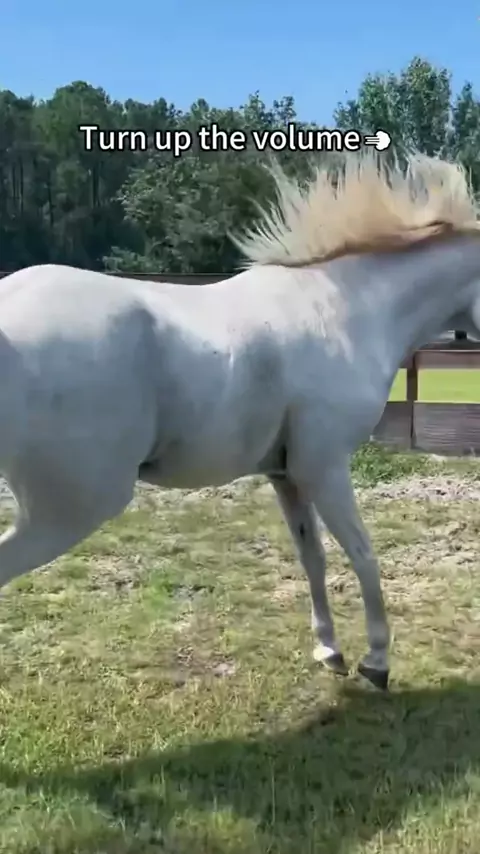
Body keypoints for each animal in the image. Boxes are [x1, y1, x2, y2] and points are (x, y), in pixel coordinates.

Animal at [0, 150, 479, 692]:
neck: (343, 312)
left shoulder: (285, 474)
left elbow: (312, 556)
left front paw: (329, 650)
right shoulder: (325, 467)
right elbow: (363, 553)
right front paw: (376, 662)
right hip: (69, 509)